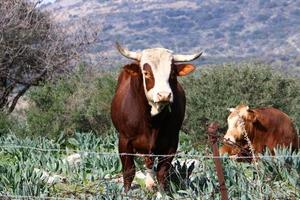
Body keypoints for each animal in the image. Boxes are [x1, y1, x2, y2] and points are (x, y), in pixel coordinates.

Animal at [110, 42, 202, 192]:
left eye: (172, 73)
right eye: (146, 73)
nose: (164, 95)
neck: (152, 120)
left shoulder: (171, 143)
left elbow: (162, 172)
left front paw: (163, 192)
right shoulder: (124, 140)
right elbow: (129, 170)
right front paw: (126, 192)